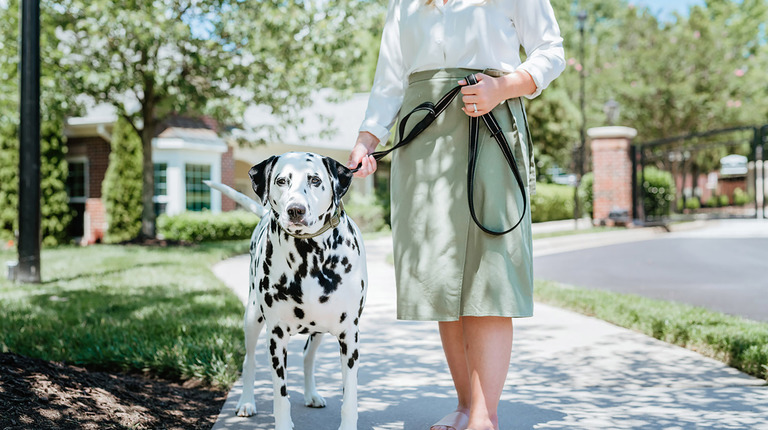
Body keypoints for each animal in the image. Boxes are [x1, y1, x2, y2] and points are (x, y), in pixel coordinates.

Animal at [232, 152, 368, 430]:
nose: (296, 210)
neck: (309, 257)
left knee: (307, 356)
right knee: (249, 361)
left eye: (315, 180)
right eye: (281, 181)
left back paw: (311, 394)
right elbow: (280, 395)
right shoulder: (276, 337)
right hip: (252, 317)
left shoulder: (349, 336)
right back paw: (246, 402)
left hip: (318, 331)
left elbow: (350, 395)